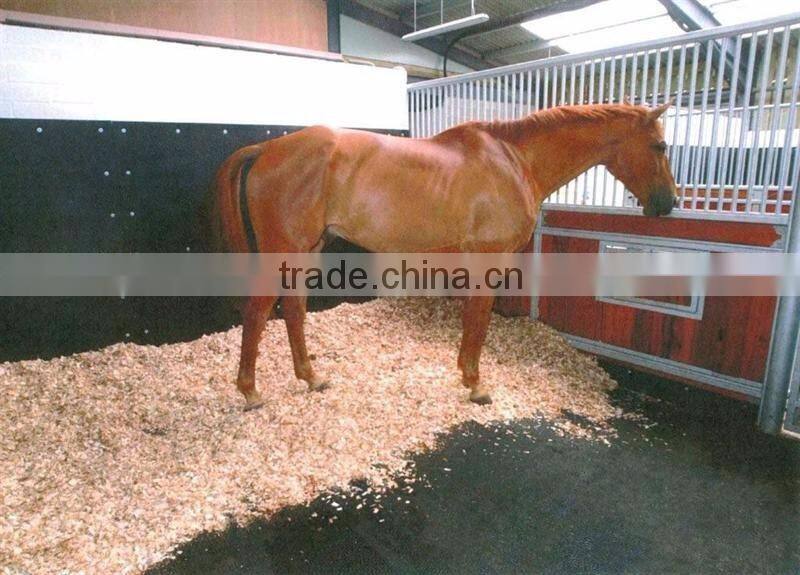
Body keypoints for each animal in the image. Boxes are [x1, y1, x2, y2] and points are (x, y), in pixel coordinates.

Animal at [210, 102, 677, 411]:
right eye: (660, 146)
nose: (669, 203)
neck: (514, 160)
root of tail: (265, 150)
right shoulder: (490, 259)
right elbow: (479, 320)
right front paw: (475, 384)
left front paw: (467, 376)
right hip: (284, 251)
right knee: (258, 312)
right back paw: (251, 392)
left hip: (308, 250)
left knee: (293, 309)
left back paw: (312, 378)